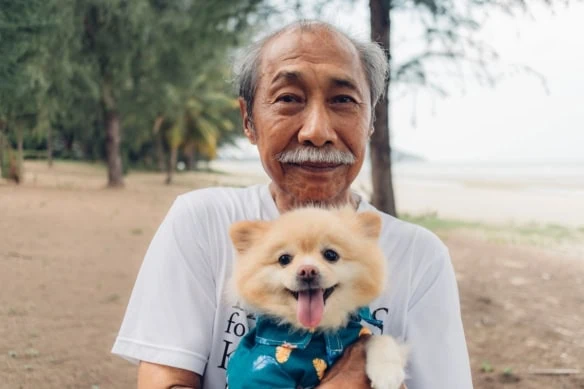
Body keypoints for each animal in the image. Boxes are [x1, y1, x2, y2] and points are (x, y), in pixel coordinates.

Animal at [226, 208, 408, 386]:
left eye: (331, 255)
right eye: (284, 259)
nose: (307, 271)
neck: (319, 331)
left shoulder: (358, 337)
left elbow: (379, 338)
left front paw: (387, 373)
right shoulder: (260, 373)